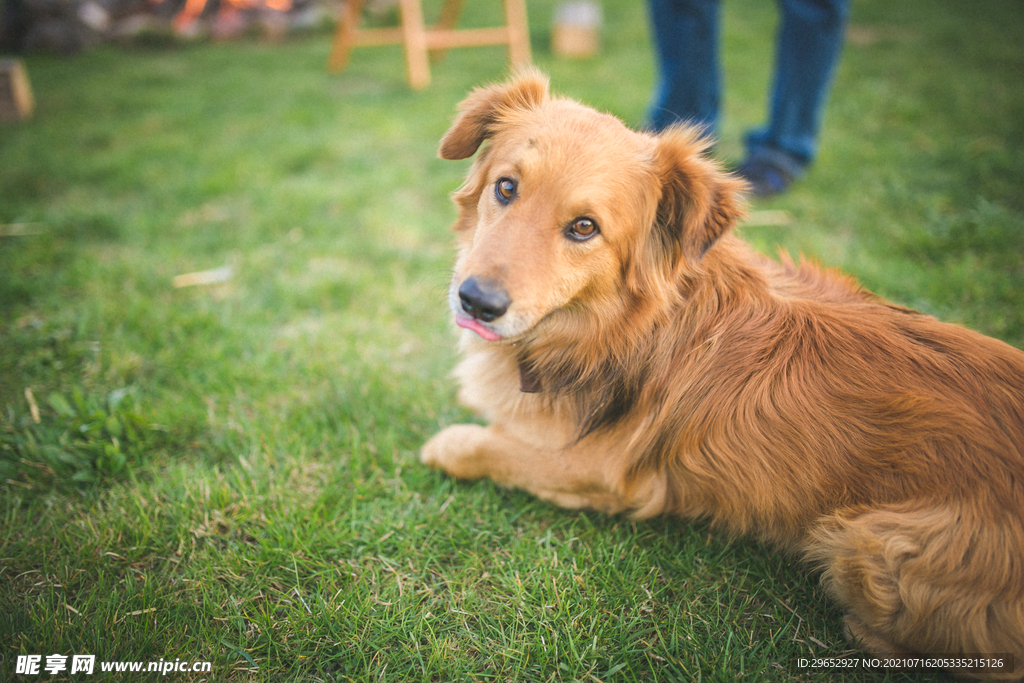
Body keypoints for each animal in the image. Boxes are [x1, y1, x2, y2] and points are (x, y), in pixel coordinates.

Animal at [417, 69, 1024, 679]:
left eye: (584, 227)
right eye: (506, 188)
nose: (476, 301)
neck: (622, 326)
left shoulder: (600, 471)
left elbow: (473, 443)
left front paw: (450, 440)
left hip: (868, 539)